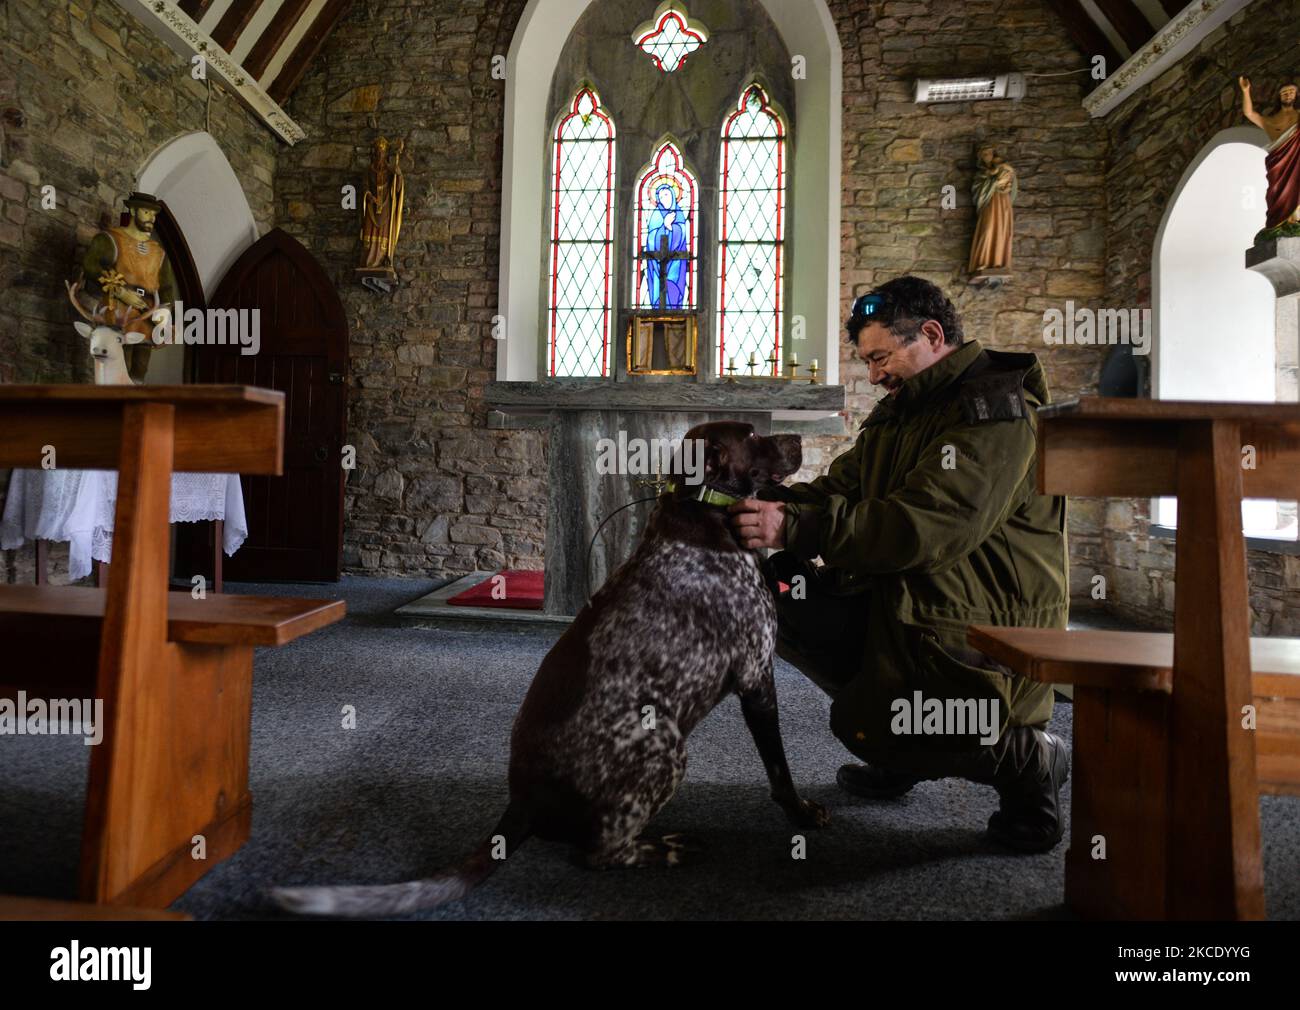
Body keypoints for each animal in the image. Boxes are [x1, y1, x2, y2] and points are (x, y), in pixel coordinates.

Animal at [271, 421, 832, 920]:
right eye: (753, 435)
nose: (798, 437)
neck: (704, 516)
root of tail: (521, 802)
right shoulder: (756, 677)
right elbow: (779, 771)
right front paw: (801, 813)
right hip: (663, 745)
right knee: (598, 853)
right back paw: (668, 849)